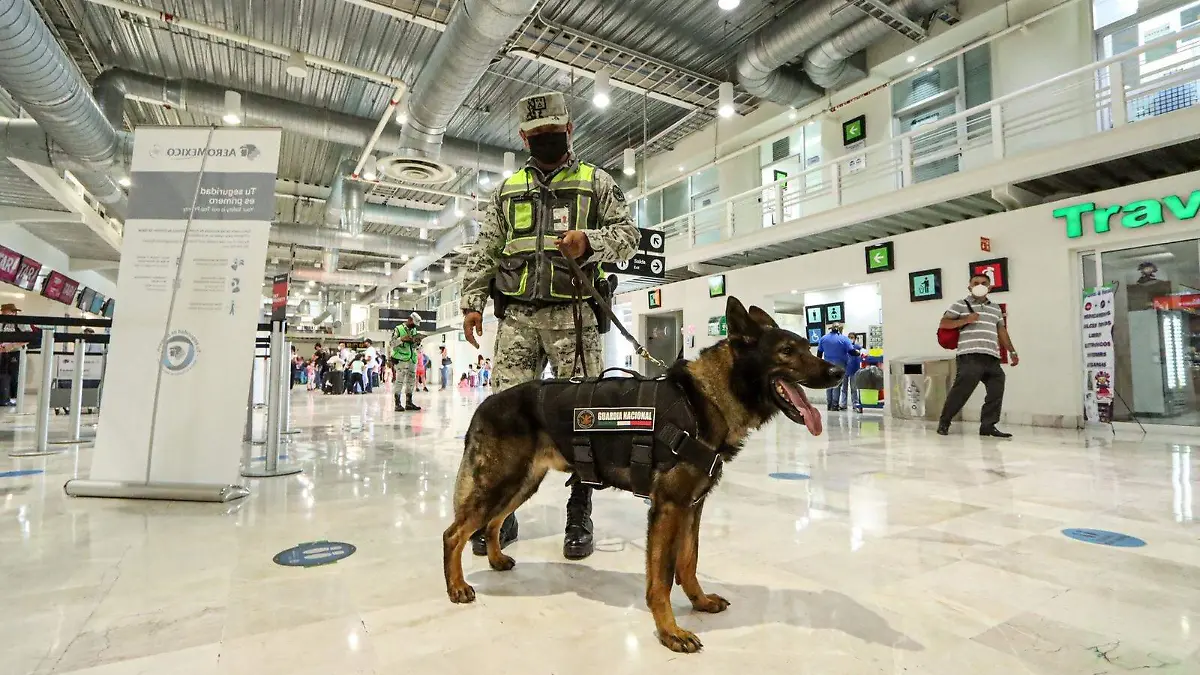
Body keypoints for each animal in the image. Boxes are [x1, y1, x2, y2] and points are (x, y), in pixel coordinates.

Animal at [441, 295, 844, 653]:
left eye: (807, 347)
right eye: (787, 352)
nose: (839, 371)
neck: (706, 399)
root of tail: (486, 403)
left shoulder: (692, 507)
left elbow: (689, 562)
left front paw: (698, 602)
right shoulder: (667, 508)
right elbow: (662, 579)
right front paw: (670, 632)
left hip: (521, 484)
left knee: (493, 522)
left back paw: (495, 560)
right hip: (501, 482)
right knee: (454, 533)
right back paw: (456, 587)